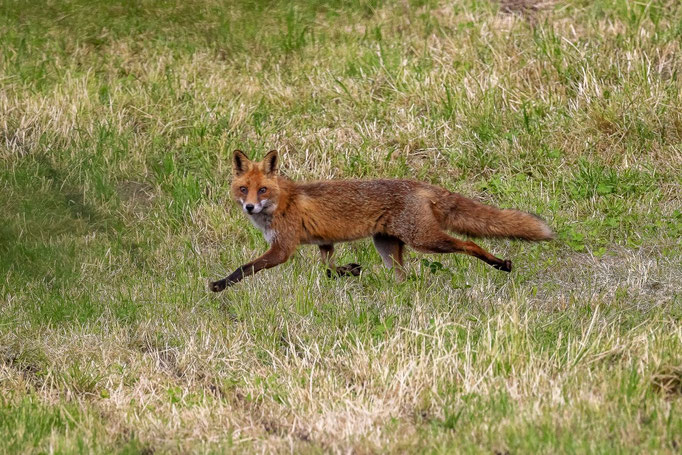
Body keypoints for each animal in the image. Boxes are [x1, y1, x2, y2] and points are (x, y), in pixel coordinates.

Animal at [210, 149, 554, 292]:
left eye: (262, 189)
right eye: (243, 189)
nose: (250, 207)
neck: (281, 201)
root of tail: (418, 184)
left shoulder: (283, 249)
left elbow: (245, 268)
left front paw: (220, 285)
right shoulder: (324, 242)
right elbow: (328, 269)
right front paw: (350, 270)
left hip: (425, 240)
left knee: (468, 243)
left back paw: (501, 264)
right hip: (387, 247)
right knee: (406, 278)